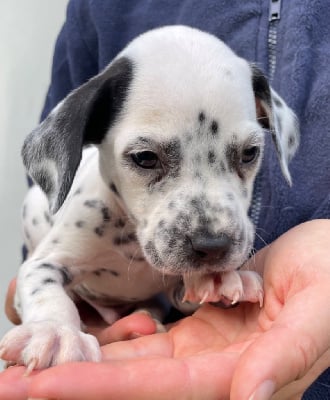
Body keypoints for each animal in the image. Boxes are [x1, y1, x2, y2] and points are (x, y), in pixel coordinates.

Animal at [0, 25, 300, 372]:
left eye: (250, 153)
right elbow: (46, 290)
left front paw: (221, 281)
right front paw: (55, 331)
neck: (135, 246)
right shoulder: (44, 262)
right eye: (145, 158)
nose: (213, 248)